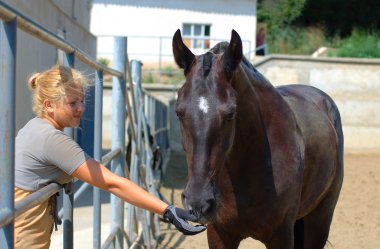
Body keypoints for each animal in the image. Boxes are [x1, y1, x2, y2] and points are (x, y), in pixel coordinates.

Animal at [172, 29, 344, 249]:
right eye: (179, 112)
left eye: (230, 114)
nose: (198, 203)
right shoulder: (219, 234)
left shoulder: (281, 235)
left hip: (320, 219)